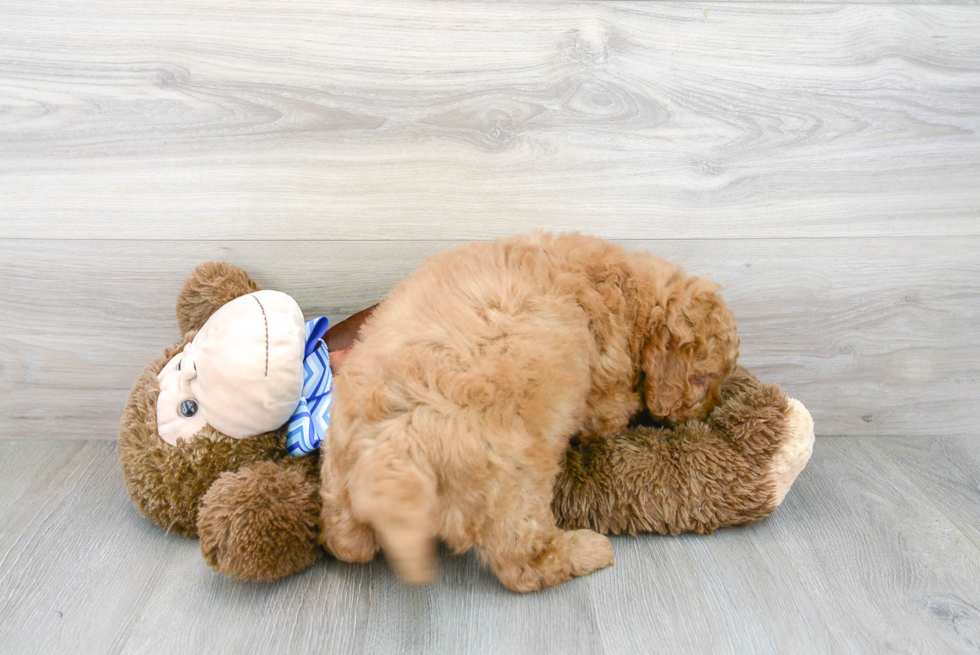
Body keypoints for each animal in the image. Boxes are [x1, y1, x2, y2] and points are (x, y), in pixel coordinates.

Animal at [318, 233, 740, 592]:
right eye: (702, 379)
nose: (711, 409)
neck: (630, 292)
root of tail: (393, 452)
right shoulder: (605, 388)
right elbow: (613, 410)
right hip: (513, 488)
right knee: (524, 563)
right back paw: (587, 551)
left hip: (338, 466)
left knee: (344, 538)